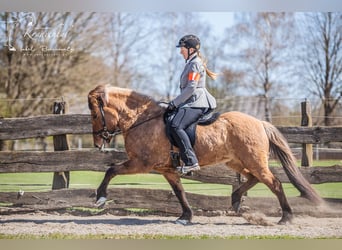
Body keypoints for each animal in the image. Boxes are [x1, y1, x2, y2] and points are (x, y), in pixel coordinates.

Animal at [88, 84, 324, 225]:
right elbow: (179, 192)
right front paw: (186, 216)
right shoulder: (166, 169)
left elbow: (111, 170)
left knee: (274, 183)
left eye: (94, 114)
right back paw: (236, 200)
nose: (98, 142)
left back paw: (286, 217)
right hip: (236, 162)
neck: (142, 120)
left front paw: (100, 197)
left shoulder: (141, 163)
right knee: (252, 178)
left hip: (255, 162)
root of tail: (259, 122)